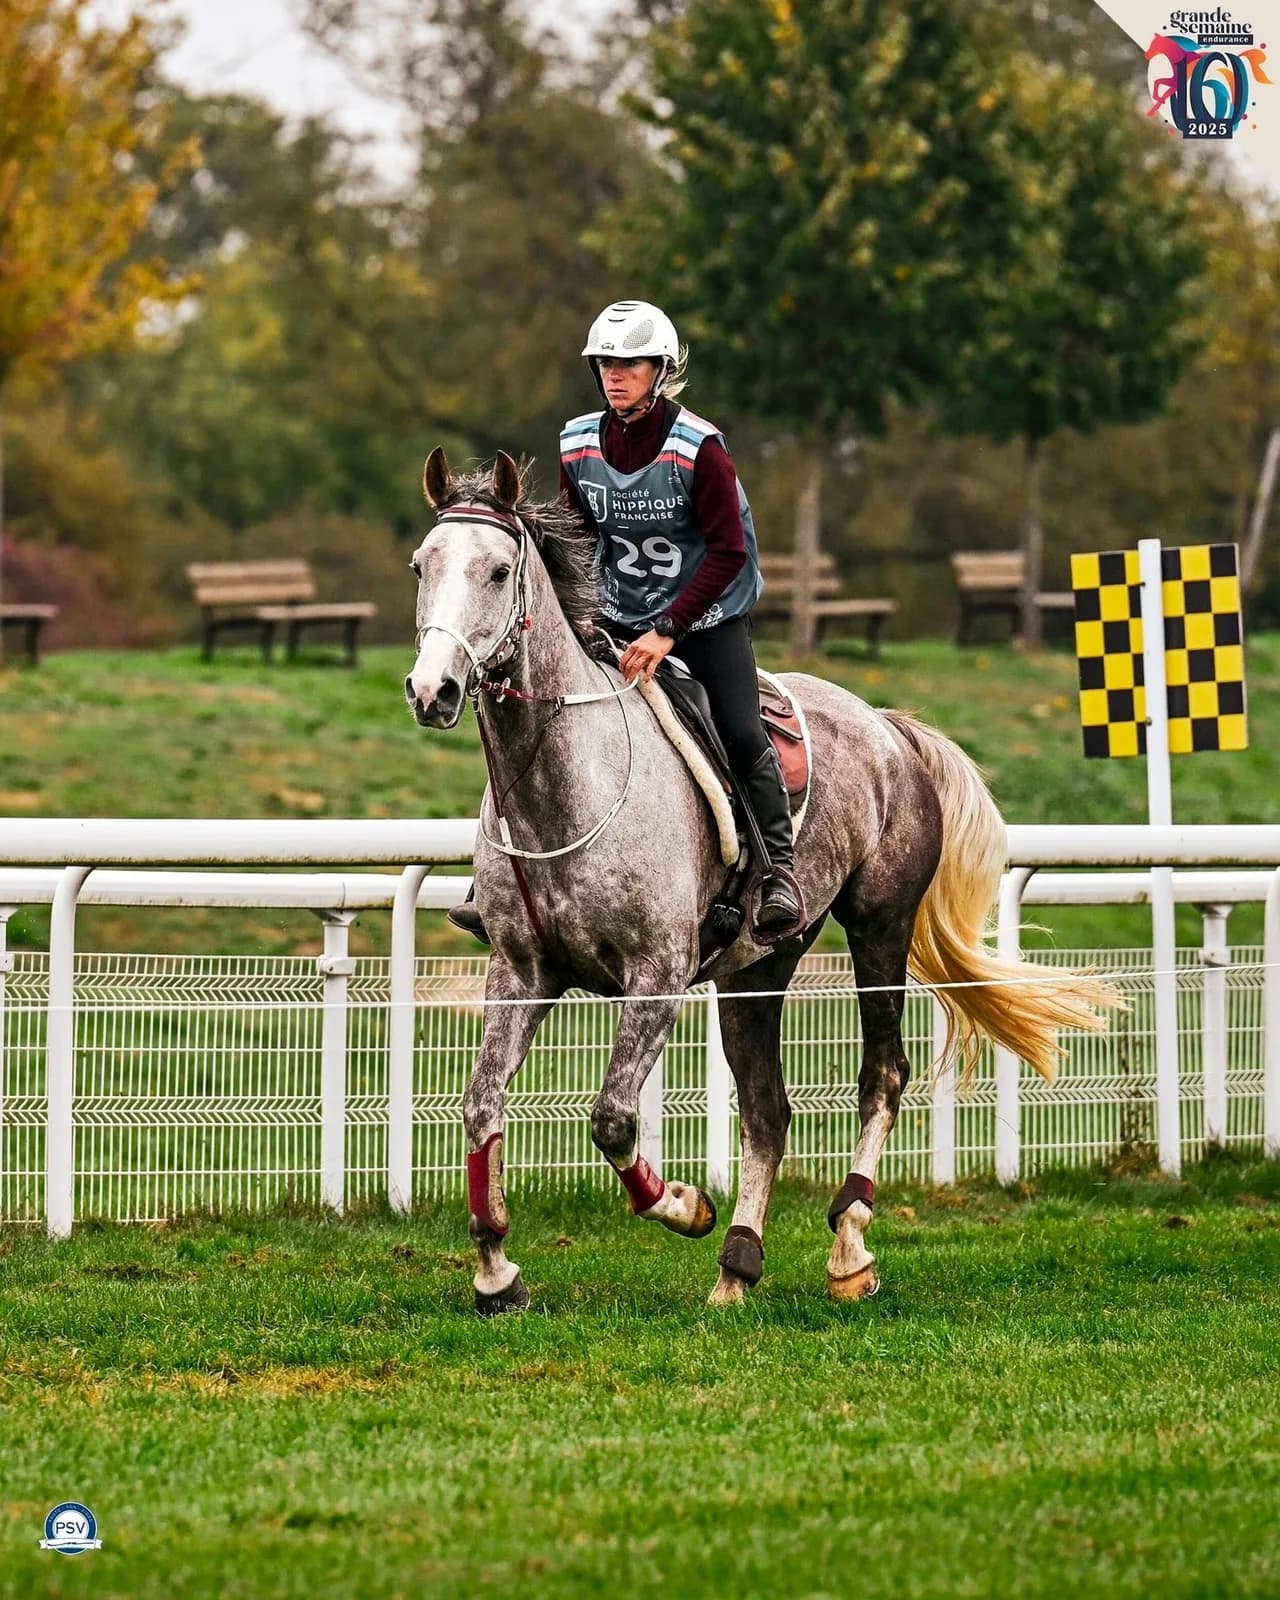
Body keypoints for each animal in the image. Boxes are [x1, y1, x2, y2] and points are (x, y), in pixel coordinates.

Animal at [405, 448, 1115, 1316]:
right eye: (422, 565)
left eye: (499, 571)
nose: (432, 691)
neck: (563, 787)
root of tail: (888, 725)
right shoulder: (520, 973)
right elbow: (480, 1106)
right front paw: (497, 1272)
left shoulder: (658, 974)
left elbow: (612, 1119)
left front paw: (685, 1206)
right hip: (759, 967)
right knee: (768, 1111)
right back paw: (738, 1264)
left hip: (879, 926)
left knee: (883, 1074)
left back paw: (848, 1248)